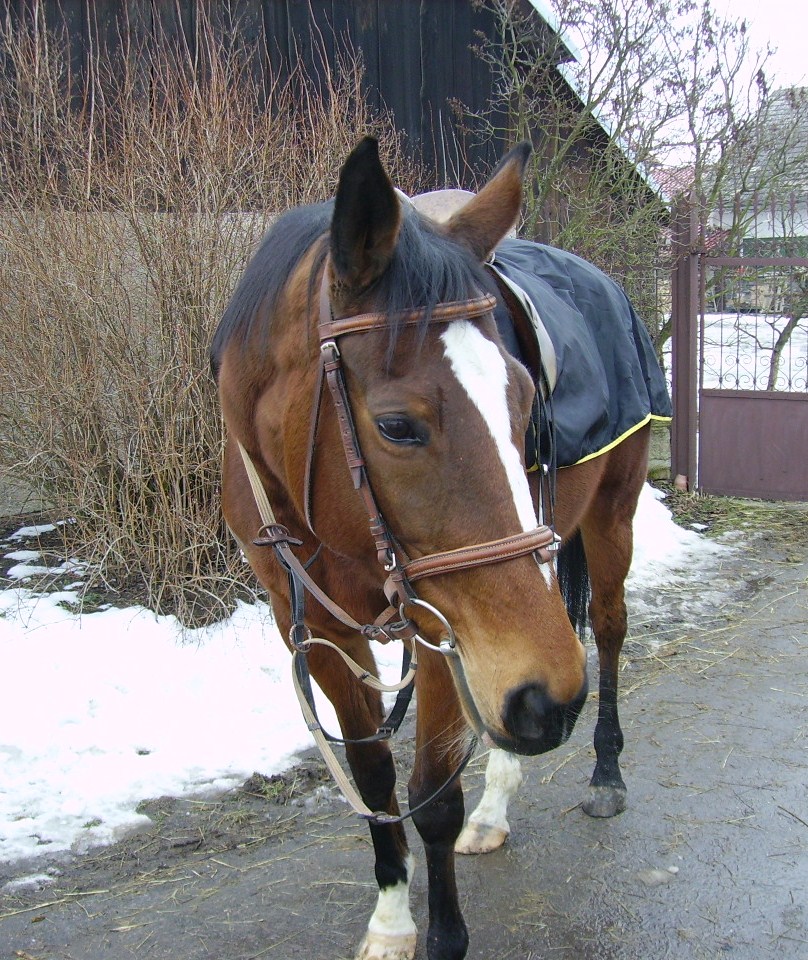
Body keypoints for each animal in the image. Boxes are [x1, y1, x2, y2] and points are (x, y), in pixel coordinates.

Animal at [210, 137, 668, 960]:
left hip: (610, 515)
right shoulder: (318, 629)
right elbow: (373, 778)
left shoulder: (438, 624)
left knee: (608, 632)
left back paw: (605, 775)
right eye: (396, 426)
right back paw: (499, 804)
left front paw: (443, 934)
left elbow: (432, 795)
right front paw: (392, 920)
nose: (557, 700)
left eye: (526, 399)